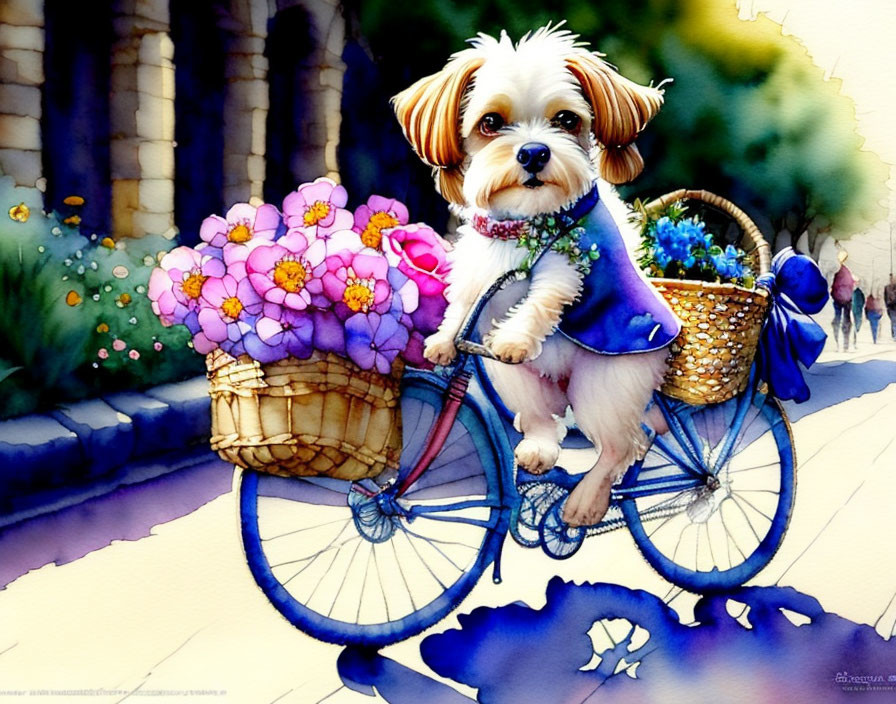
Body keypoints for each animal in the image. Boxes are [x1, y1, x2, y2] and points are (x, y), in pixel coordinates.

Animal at [392, 24, 680, 524]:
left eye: (566, 120)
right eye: (490, 123)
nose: (533, 152)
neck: (522, 223)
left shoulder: (568, 266)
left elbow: (543, 298)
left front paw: (515, 337)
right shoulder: (478, 271)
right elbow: (463, 301)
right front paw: (444, 340)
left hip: (603, 385)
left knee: (625, 444)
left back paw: (586, 501)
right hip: (518, 379)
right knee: (545, 417)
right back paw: (539, 450)